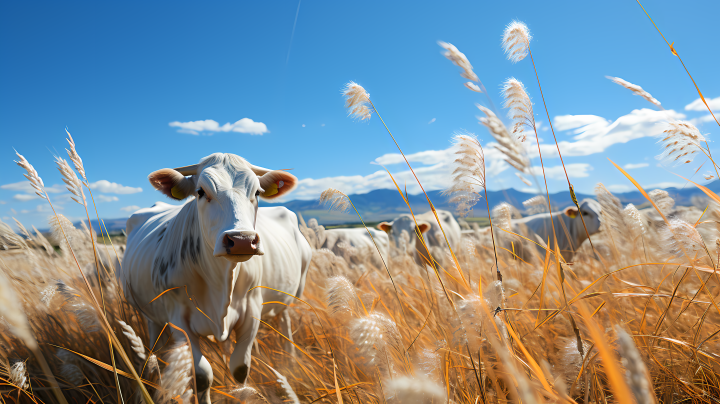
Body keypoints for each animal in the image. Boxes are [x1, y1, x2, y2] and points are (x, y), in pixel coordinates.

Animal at [119, 153, 310, 402]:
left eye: (257, 192)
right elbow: (202, 375)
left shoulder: (252, 311)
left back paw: (291, 359)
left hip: (290, 297)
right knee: (155, 342)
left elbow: (240, 369)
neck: (220, 281)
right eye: (201, 192)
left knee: (285, 322)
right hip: (151, 314)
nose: (241, 240)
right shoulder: (179, 320)